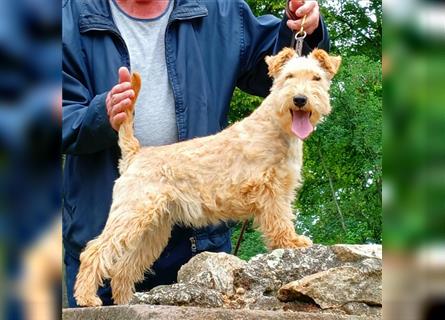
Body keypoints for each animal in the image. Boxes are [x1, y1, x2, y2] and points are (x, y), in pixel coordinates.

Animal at [75, 48, 340, 308]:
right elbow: (280, 221)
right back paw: (87, 298)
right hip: (131, 214)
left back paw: (126, 302)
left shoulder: (281, 190)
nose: (300, 100)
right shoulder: (271, 190)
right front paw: (291, 242)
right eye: (288, 77)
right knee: (94, 251)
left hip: (153, 228)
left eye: (316, 78)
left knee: (123, 267)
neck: (276, 125)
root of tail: (135, 153)